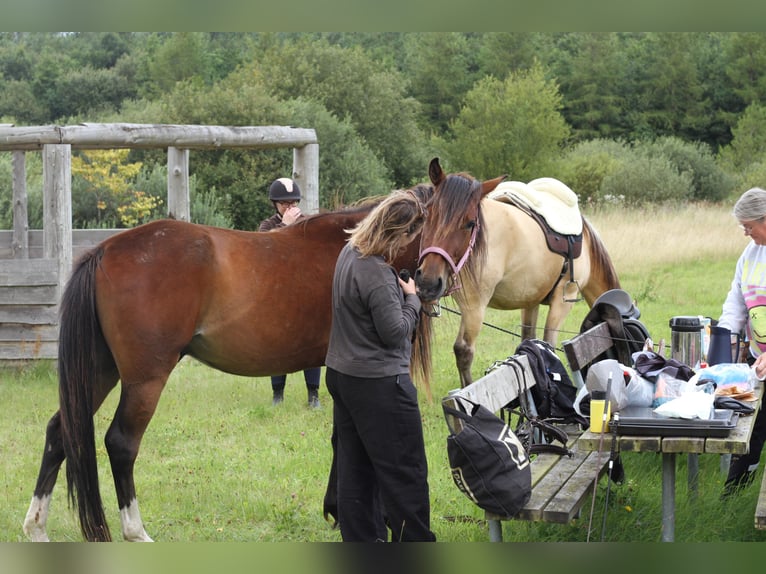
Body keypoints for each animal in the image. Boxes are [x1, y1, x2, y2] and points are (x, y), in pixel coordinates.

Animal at [416, 160, 620, 390]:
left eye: (470, 223)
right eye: (427, 214)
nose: (428, 282)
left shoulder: (531, 300)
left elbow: (531, 342)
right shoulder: (562, 301)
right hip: (475, 309)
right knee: (464, 352)